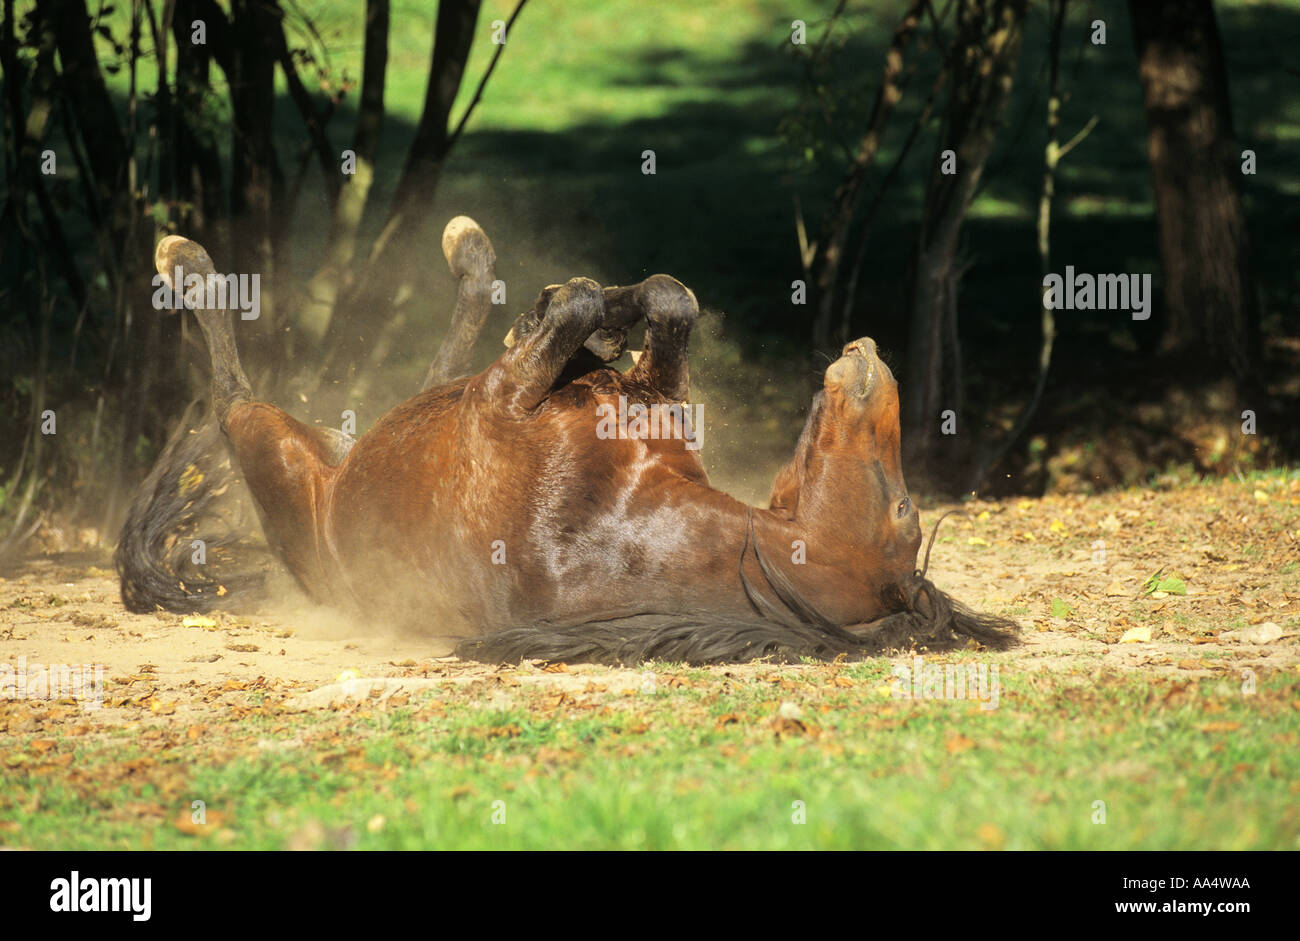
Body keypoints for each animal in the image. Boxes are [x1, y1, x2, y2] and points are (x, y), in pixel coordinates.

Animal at [116, 218, 1018, 664]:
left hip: (277, 456)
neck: (610, 519)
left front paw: (571, 313)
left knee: (231, 391)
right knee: (429, 370)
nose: (869, 352)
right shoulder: (648, 395)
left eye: (904, 510)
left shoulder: (503, 400)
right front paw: (604, 319)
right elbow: (666, 302)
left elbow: (579, 309)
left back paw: (186, 260)